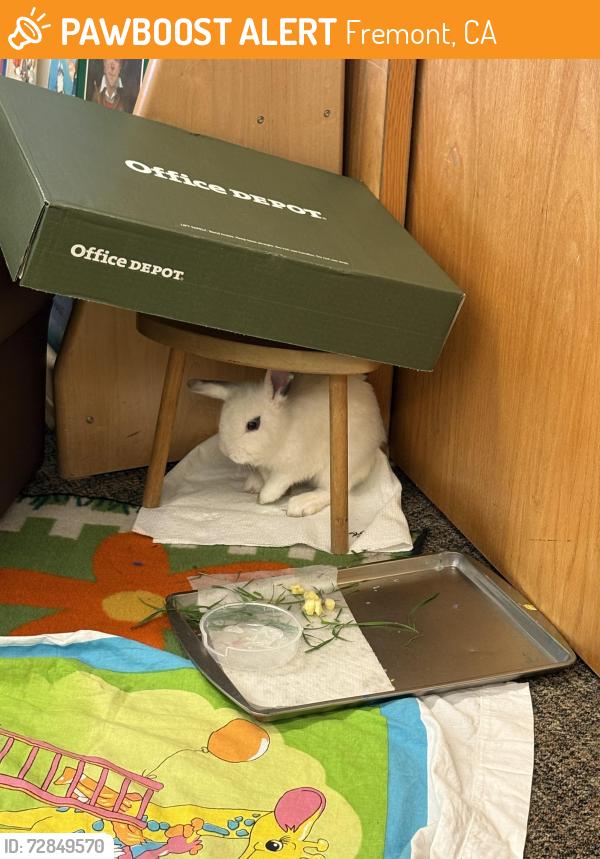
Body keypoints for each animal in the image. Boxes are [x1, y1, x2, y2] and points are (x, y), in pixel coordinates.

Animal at [187, 370, 386, 517]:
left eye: (253, 424)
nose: (228, 452)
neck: (283, 431)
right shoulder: (266, 467)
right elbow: (268, 477)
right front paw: (265, 489)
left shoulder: (294, 466)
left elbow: (278, 482)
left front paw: (265, 498)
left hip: (339, 466)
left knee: (332, 491)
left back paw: (300, 504)